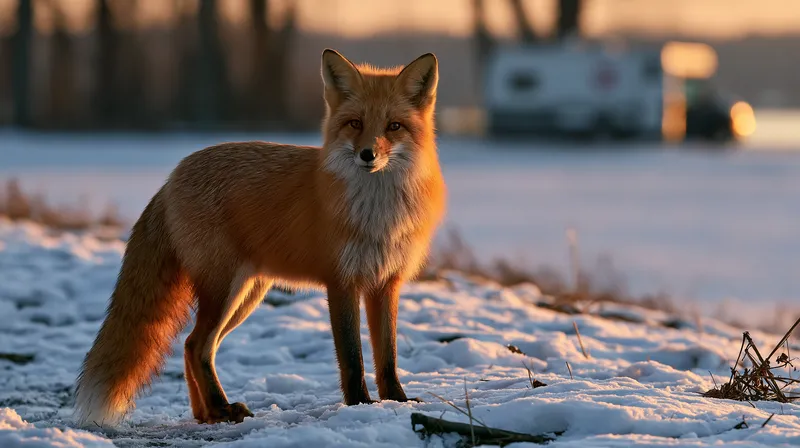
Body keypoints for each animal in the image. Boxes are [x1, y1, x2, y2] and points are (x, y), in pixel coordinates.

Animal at [72, 49, 446, 427]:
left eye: (393, 126)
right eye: (355, 123)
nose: (367, 154)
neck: (378, 213)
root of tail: (172, 177)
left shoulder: (386, 282)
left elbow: (388, 356)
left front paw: (396, 401)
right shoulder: (342, 281)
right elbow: (352, 357)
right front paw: (359, 404)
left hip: (247, 295)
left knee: (193, 347)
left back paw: (206, 414)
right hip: (225, 289)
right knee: (197, 345)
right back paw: (221, 408)